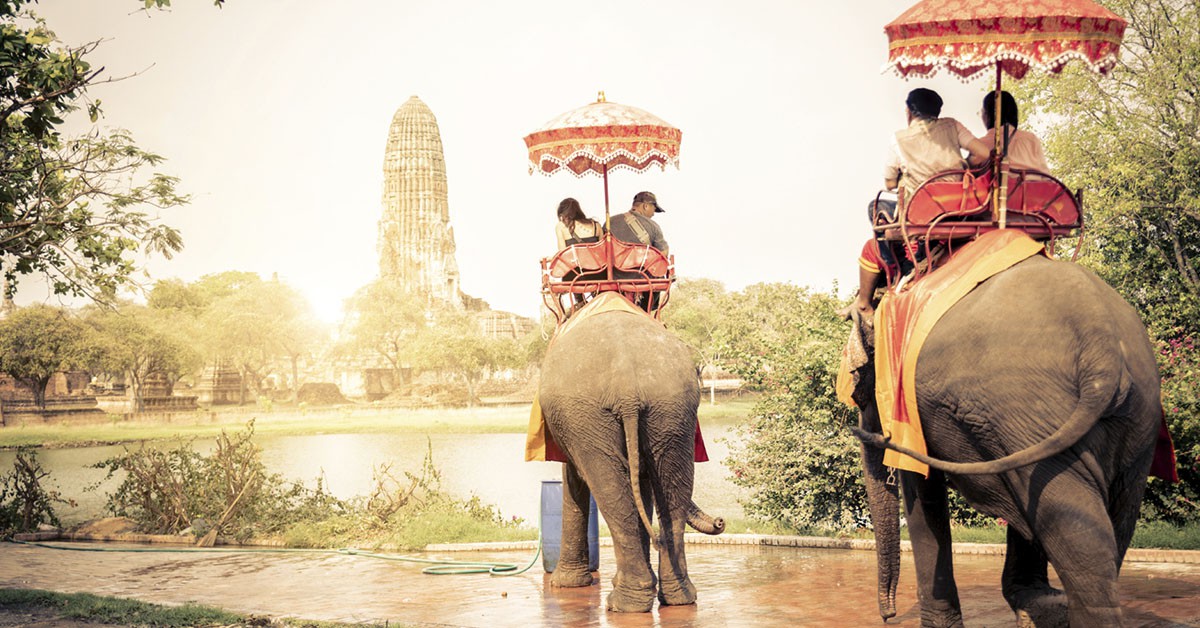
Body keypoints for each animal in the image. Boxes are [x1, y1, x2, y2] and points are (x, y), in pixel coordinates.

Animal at [538, 306, 725, 613]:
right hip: (671, 408)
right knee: (671, 484)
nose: (721, 521)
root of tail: (626, 384)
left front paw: (564, 584)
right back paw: (676, 597)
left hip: (589, 413)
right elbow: (644, 482)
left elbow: (576, 477)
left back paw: (624, 604)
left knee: (608, 485)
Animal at [849, 254, 1163, 627]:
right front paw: (1037, 604)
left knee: (1071, 528)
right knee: (1108, 517)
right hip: (1132, 419)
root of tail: (1102, 347)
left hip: (1024, 406)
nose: (889, 615)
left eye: (859, 391)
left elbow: (921, 493)